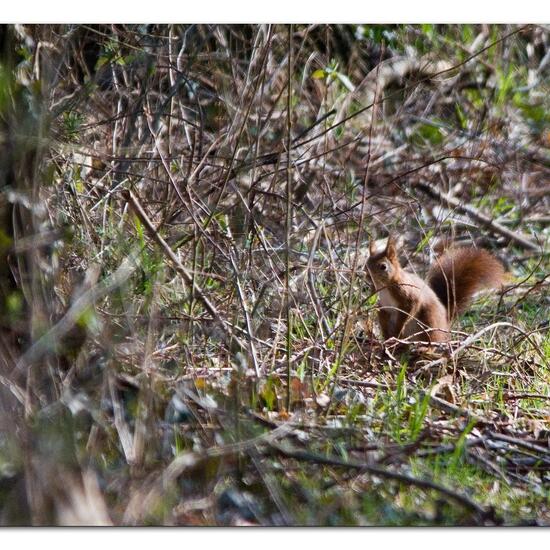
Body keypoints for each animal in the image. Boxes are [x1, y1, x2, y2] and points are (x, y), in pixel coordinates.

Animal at [368, 237, 506, 344]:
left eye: (383, 266)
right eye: (367, 263)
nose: (368, 275)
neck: (384, 287)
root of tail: (445, 321)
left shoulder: (407, 293)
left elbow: (410, 309)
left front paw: (398, 329)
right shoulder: (384, 305)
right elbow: (382, 312)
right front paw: (388, 333)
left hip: (430, 320)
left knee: (432, 339)